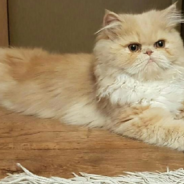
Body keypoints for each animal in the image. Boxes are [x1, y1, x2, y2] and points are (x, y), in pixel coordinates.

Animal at [0, 3, 184, 151]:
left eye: (160, 44)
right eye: (133, 47)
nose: (149, 52)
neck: (150, 83)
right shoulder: (141, 118)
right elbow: (177, 130)